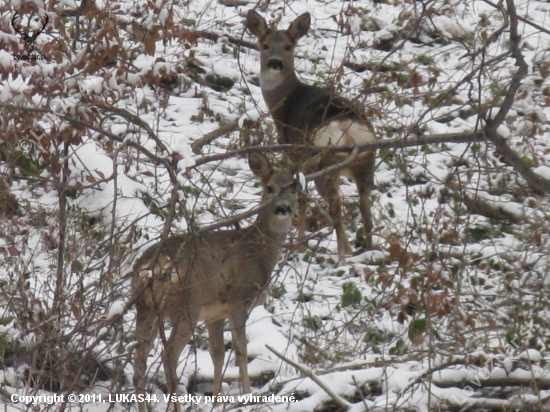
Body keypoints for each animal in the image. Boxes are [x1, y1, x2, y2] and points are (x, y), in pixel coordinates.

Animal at [131, 153, 298, 411]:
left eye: (294, 187)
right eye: (269, 188)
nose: (283, 208)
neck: (257, 252)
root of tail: (150, 268)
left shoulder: (215, 313)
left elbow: (217, 353)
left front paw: (218, 400)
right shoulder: (238, 298)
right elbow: (240, 350)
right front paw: (247, 395)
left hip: (145, 307)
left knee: (139, 357)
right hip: (187, 304)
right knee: (168, 353)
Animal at [245, 10, 377, 265]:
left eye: (288, 46)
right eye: (264, 45)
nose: (275, 62)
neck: (284, 103)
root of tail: (348, 131)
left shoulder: (295, 156)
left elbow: (302, 198)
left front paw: (300, 246)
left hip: (325, 160)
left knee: (336, 205)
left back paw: (342, 256)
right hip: (366, 161)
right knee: (365, 204)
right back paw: (368, 250)